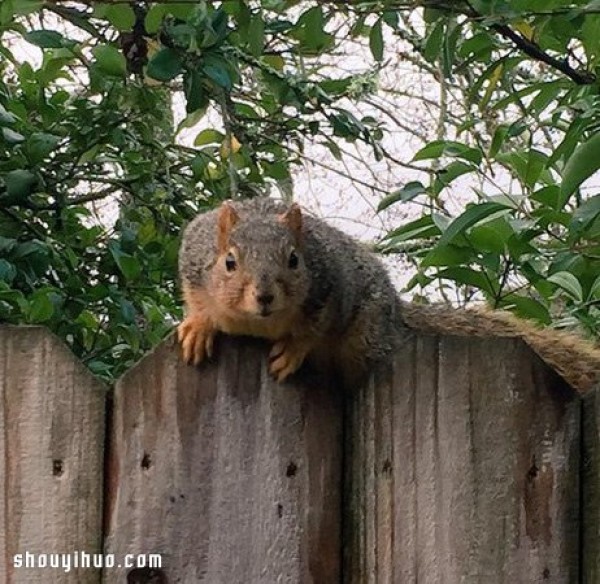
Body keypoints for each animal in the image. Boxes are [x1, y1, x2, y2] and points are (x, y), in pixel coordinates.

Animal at [177, 198, 600, 394]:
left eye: (295, 260)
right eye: (229, 262)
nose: (264, 296)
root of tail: (397, 313)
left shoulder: (333, 290)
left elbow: (313, 329)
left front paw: (292, 351)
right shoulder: (193, 263)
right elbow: (198, 301)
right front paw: (198, 327)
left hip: (366, 337)